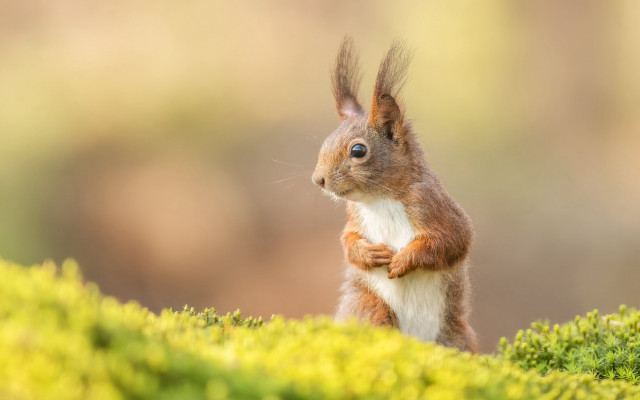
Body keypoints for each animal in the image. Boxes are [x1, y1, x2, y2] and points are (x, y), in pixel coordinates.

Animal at [312, 37, 477, 353]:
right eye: (325, 143)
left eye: (358, 150)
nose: (318, 180)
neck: (379, 199)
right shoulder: (354, 215)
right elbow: (348, 241)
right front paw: (368, 253)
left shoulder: (431, 204)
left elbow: (451, 241)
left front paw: (403, 260)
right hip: (370, 306)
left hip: (454, 336)